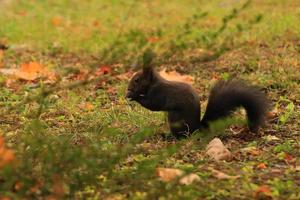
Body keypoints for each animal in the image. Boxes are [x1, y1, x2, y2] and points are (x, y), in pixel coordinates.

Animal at [126, 50, 270, 138]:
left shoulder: (158, 93)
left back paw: (168, 136)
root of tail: (196, 129)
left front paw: (133, 96)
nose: (128, 90)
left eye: (137, 80)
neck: (154, 83)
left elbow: (152, 105)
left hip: (175, 119)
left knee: (182, 136)